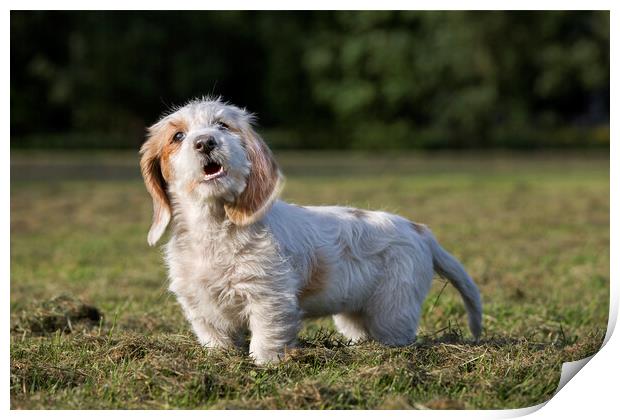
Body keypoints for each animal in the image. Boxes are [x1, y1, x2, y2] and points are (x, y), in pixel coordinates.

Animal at [140, 97, 484, 364]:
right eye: (178, 136)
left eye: (222, 125)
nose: (205, 142)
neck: (213, 225)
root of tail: (419, 230)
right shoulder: (200, 305)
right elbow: (215, 338)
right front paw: (220, 359)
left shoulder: (269, 297)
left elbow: (265, 337)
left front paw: (265, 364)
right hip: (354, 314)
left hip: (392, 309)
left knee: (396, 334)